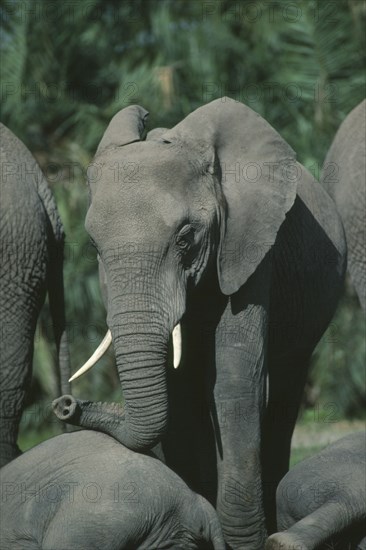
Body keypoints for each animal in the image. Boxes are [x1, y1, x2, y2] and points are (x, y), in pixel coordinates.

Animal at [53, 99, 346, 550]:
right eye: (94, 247)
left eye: (185, 238)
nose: (66, 404)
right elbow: (179, 392)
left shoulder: (250, 246)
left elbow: (233, 381)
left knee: (285, 386)